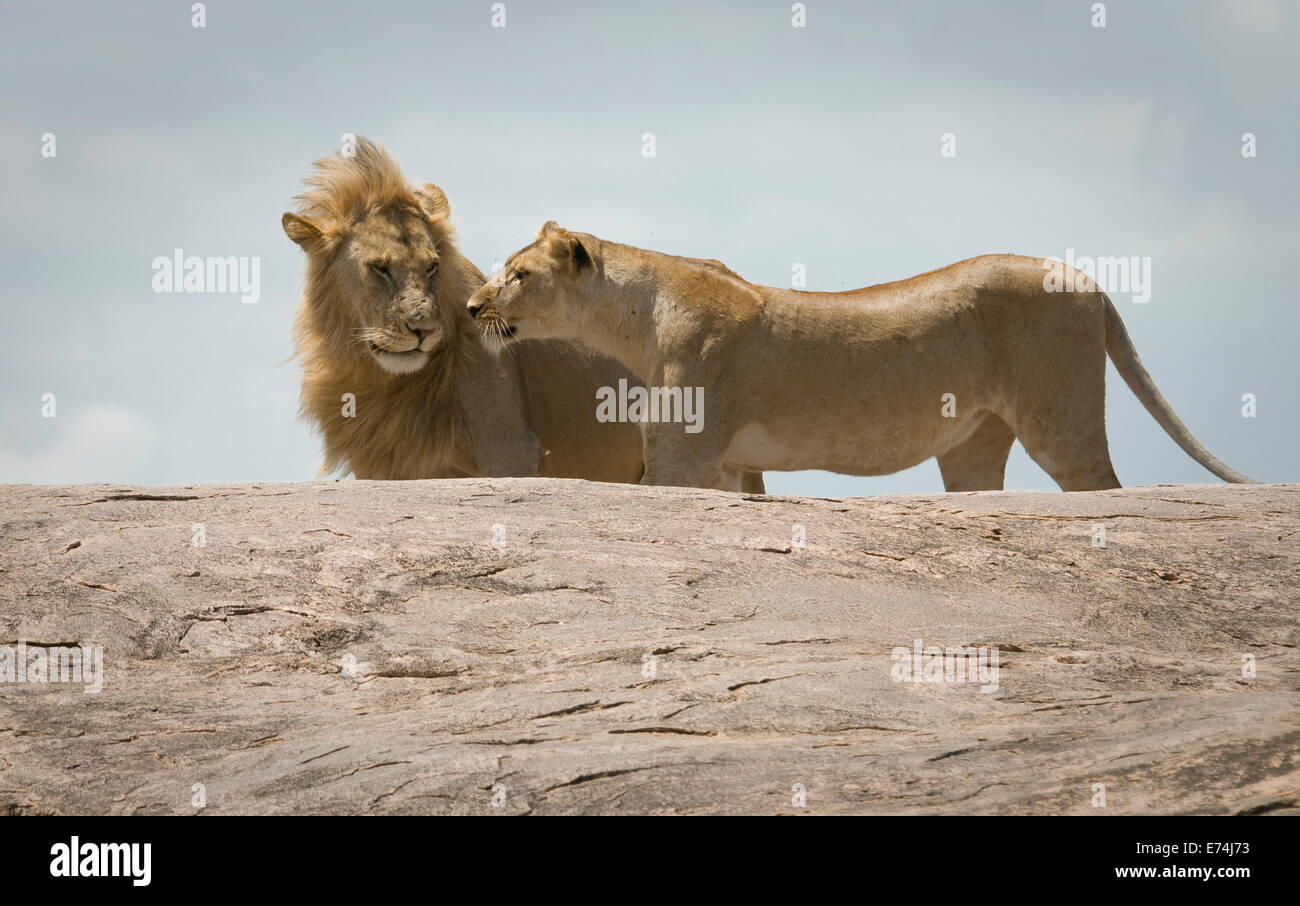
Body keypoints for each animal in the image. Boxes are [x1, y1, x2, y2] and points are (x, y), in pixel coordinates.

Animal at [467, 224, 1248, 491]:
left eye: (519, 274)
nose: (473, 307)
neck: (634, 320)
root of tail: (1090, 281)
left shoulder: (683, 456)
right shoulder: (724, 464)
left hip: (1061, 421)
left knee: (1102, 486)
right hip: (972, 444)